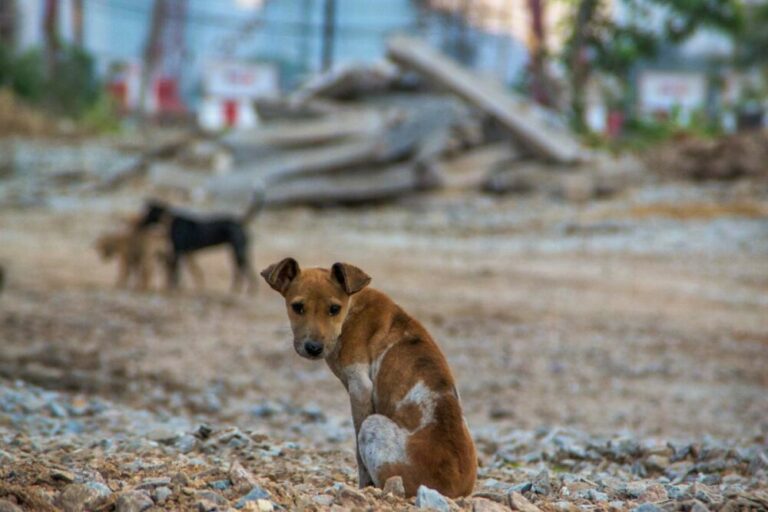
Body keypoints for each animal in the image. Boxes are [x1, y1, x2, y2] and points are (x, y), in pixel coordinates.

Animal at [266, 258, 480, 498]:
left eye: (334, 309)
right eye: (297, 307)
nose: (313, 348)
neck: (352, 308)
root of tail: (454, 493)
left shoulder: (360, 388)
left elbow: (359, 456)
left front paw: (362, 488)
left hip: (374, 425)